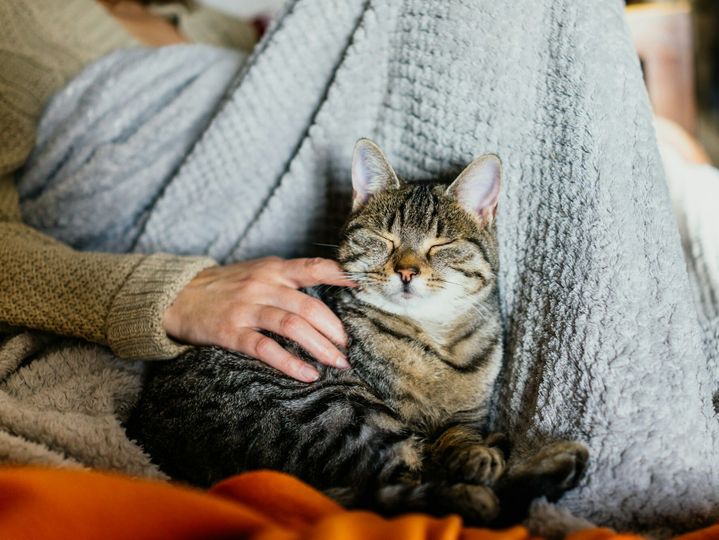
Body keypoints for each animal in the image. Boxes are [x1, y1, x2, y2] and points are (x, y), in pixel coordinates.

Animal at [126, 138, 588, 524]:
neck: (436, 340)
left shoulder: (468, 414)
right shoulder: (403, 420)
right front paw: (479, 460)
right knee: (404, 491)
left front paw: (473, 449)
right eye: (384, 238)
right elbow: (437, 454)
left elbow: (459, 433)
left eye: (439, 245)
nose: (406, 271)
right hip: (337, 407)